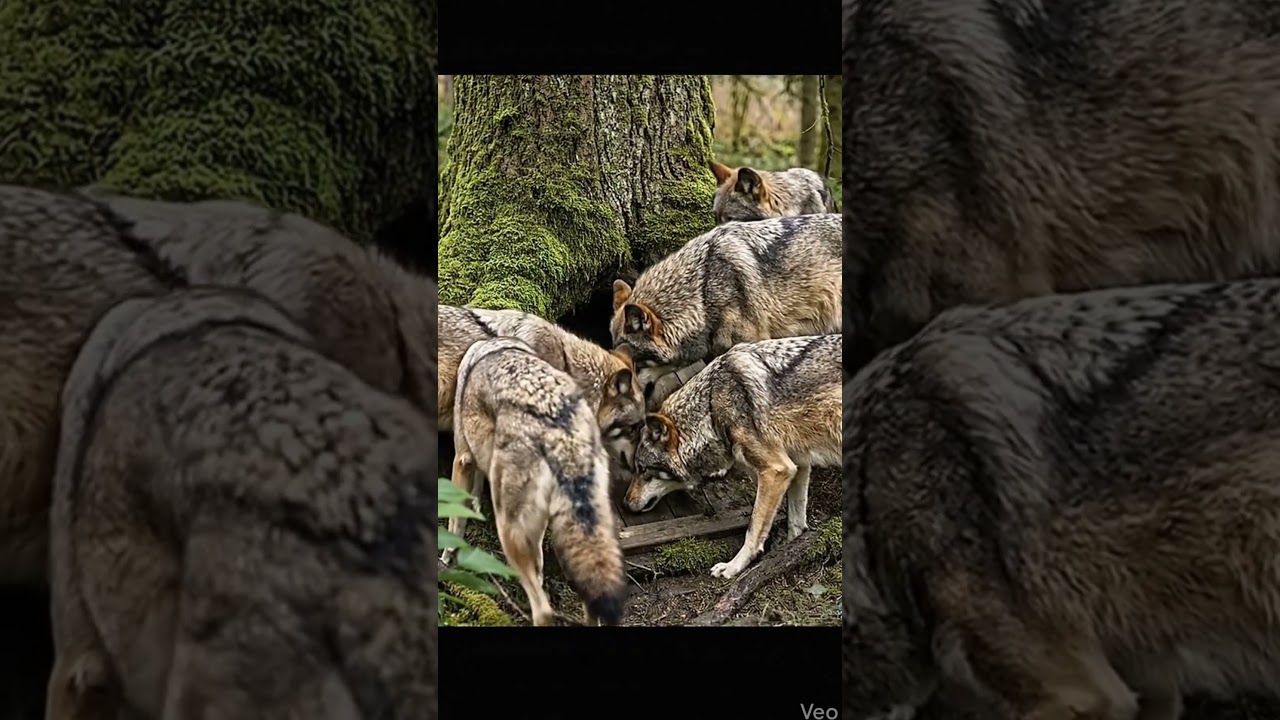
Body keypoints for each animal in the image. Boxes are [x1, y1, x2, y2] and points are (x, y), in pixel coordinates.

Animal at [447, 337, 628, 627]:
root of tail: (562, 434)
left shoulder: (462, 460)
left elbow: (454, 524)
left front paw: (446, 560)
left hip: (509, 535)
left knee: (543, 610)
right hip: (591, 537)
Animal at [626, 334, 841, 579]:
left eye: (643, 470)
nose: (626, 503)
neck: (710, 407)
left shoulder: (776, 470)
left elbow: (753, 529)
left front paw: (733, 567)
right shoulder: (798, 465)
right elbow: (795, 522)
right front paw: (789, 553)